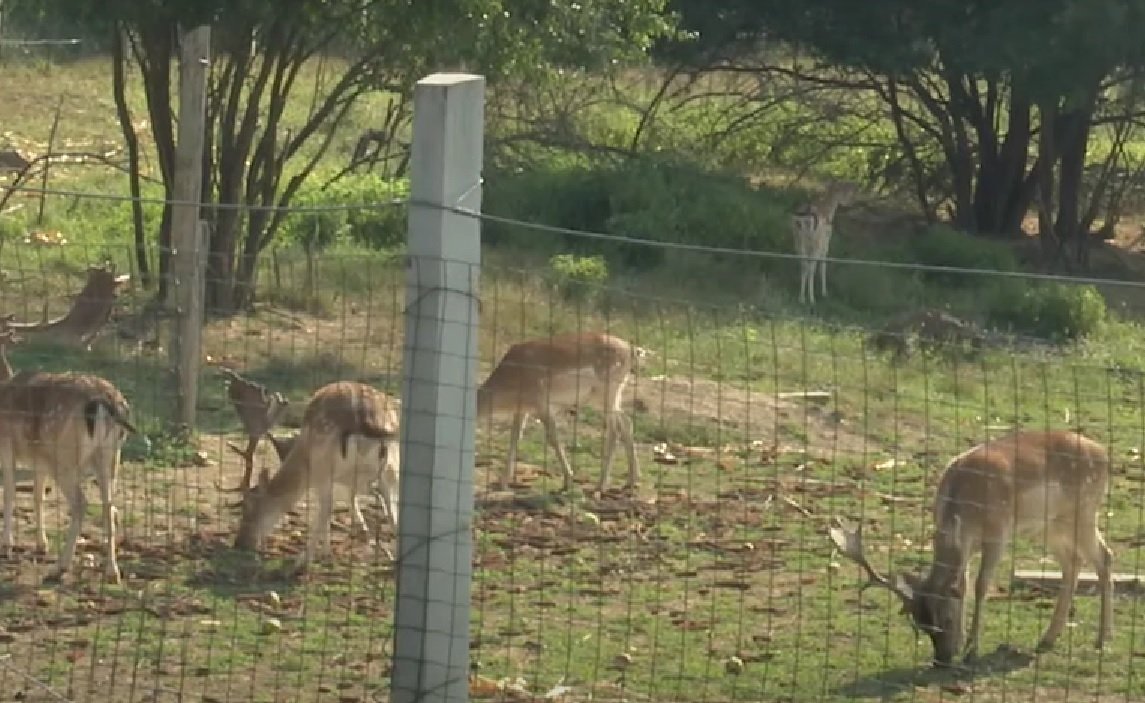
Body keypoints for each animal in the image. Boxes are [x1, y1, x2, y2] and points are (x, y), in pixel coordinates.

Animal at [0, 325, 138, 583]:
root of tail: (104, 403)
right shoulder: (40, 459)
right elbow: (38, 496)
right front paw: (41, 545)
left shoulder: (7, 445)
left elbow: (10, 493)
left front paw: (6, 546)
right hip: (111, 455)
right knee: (110, 506)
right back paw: (112, 571)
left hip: (66, 457)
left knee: (82, 504)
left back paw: (61, 567)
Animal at [232, 382, 403, 570]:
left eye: (249, 509)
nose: (239, 544)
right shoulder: (347, 481)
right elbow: (351, 503)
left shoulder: (323, 475)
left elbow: (330, 508)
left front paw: (324, 553)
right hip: (392, 467)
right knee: (393, 511)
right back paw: (395, 560)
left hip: (324, 464)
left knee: (327, 508)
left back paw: (302, 560)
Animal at [474, 332, 645, 492]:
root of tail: (630, 349)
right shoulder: (523, 411)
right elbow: (515, 437)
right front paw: (503, 484)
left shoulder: (543, 407)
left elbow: (553, 439)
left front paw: (568, 481)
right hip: (609, 399)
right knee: (626, 422)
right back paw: (631, 481)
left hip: (606, 397)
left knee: (615, 428)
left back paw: (601, 485)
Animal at [833, 432, 1108, 668]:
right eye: (921, 625)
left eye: (946, 619)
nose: (941, 660)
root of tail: (1103, 452)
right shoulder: (966, 544)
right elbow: (963, 585)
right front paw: (964, 644)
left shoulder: (999, 533)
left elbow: (980, 585)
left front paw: (971, 650)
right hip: (1049, 525)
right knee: (1073, 562)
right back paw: (1047, 639)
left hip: (1084, 510)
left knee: (1104, 556)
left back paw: (1102, 640)